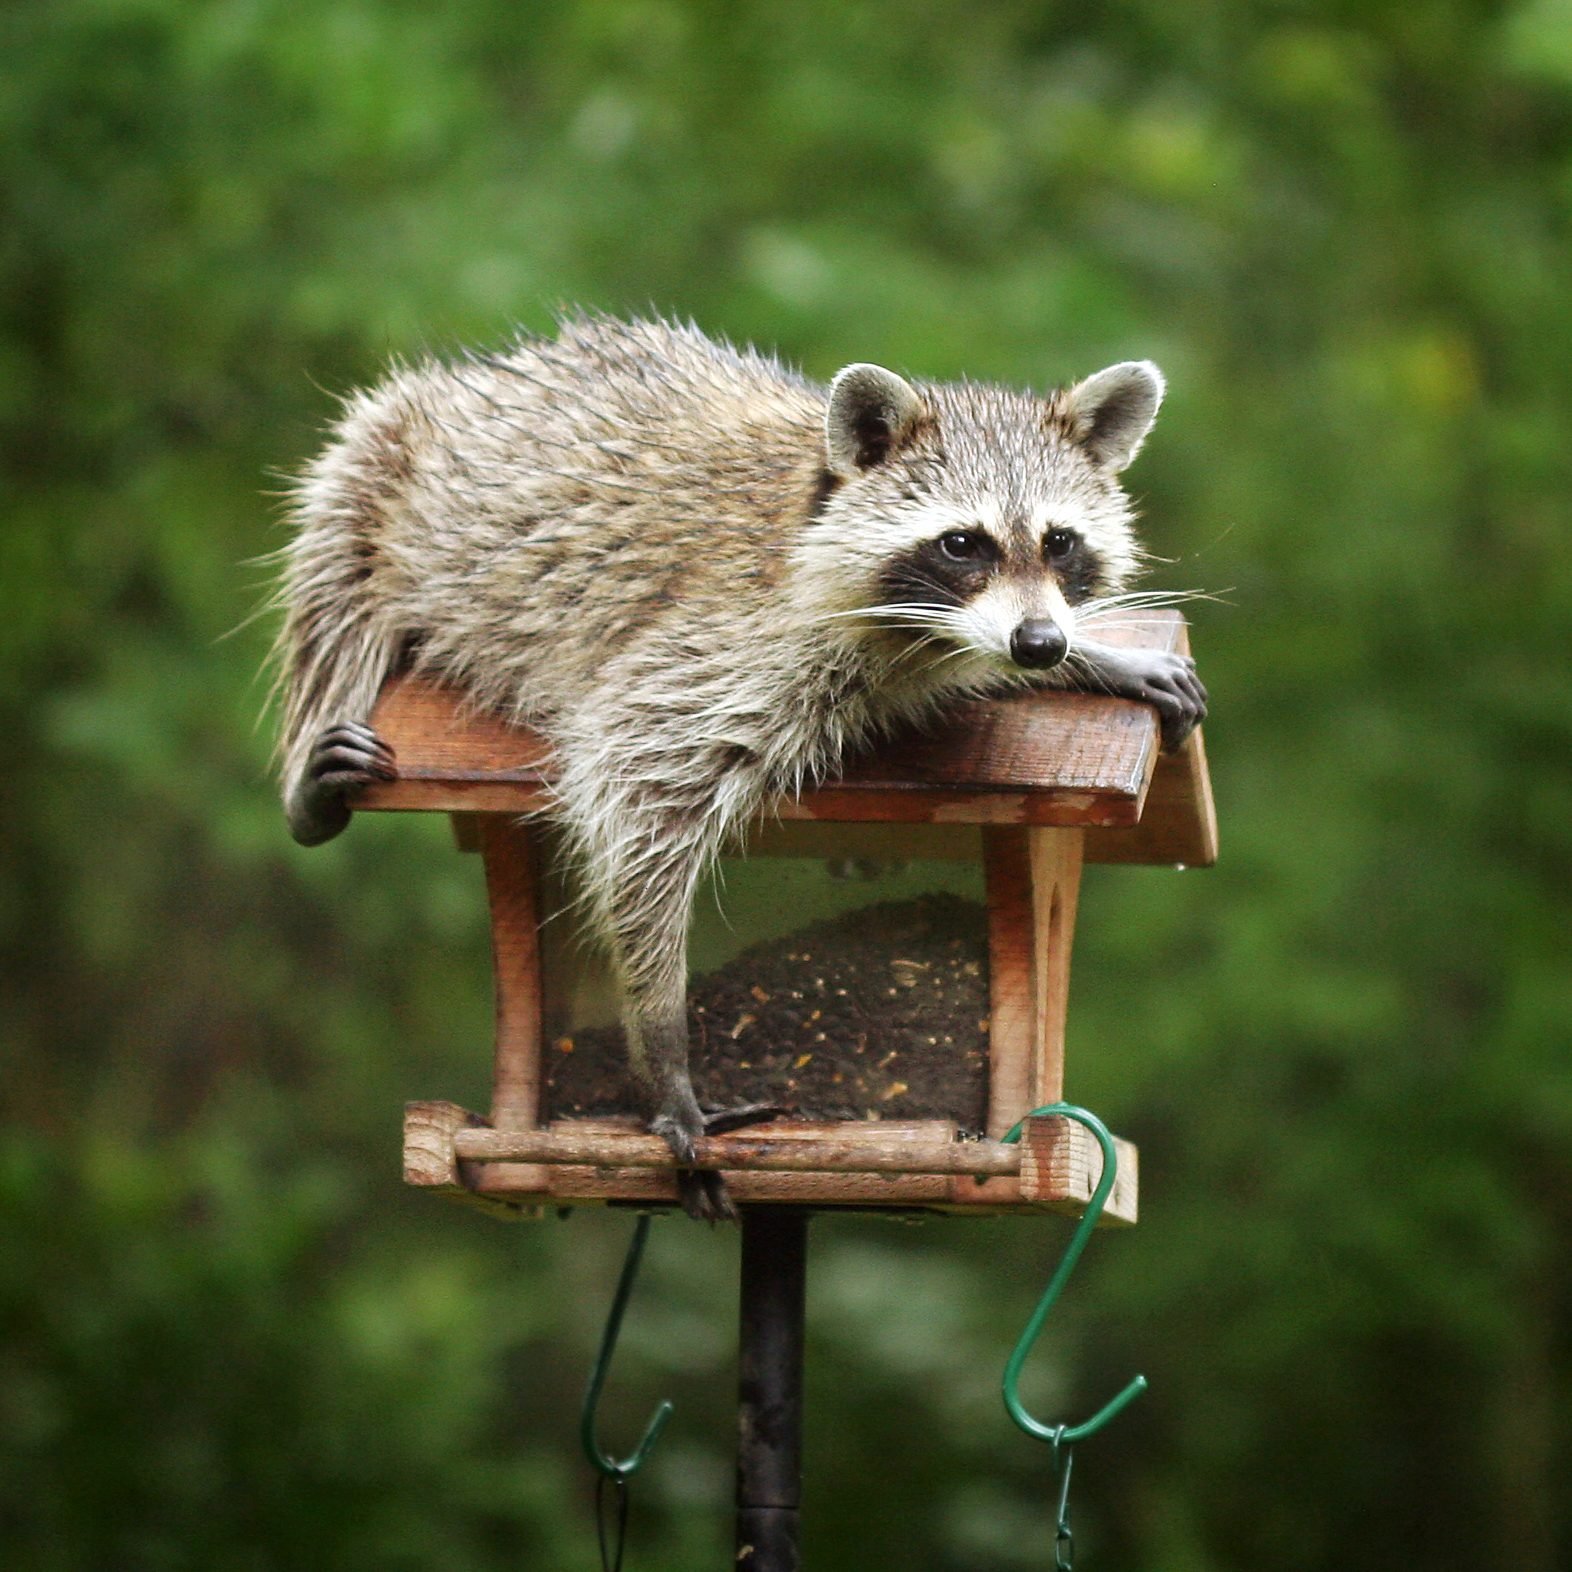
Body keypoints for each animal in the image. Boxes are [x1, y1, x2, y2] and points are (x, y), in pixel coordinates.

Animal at [270, 309, 1201, 1213]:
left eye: (1060, 542)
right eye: (962, 544)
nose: (1038, 644)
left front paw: (1092, 655)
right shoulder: (723, 644)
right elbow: (635, 785)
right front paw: (662, 1044)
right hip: (374, 473)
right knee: (334, 596)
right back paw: (311, 780)